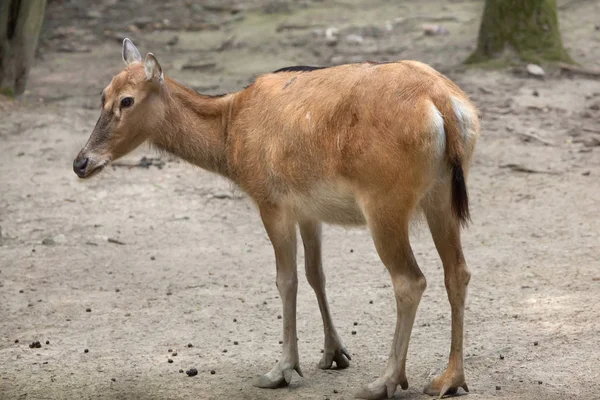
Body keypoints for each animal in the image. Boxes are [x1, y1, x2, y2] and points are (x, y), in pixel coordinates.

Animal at [72, 38, 480, 400]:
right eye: (102, 96)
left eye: (127, 100)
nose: (81, 162)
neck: (230, 136)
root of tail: (444, 104)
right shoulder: (308, 210)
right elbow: (316, 274)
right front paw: (334, 353)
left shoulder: (270, 201)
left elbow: (286, 280)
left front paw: (282, 370)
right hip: (442, 196)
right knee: (457, 271)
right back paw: (450, 380)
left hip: (385, 202)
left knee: (410, 280)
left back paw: (385, 382)